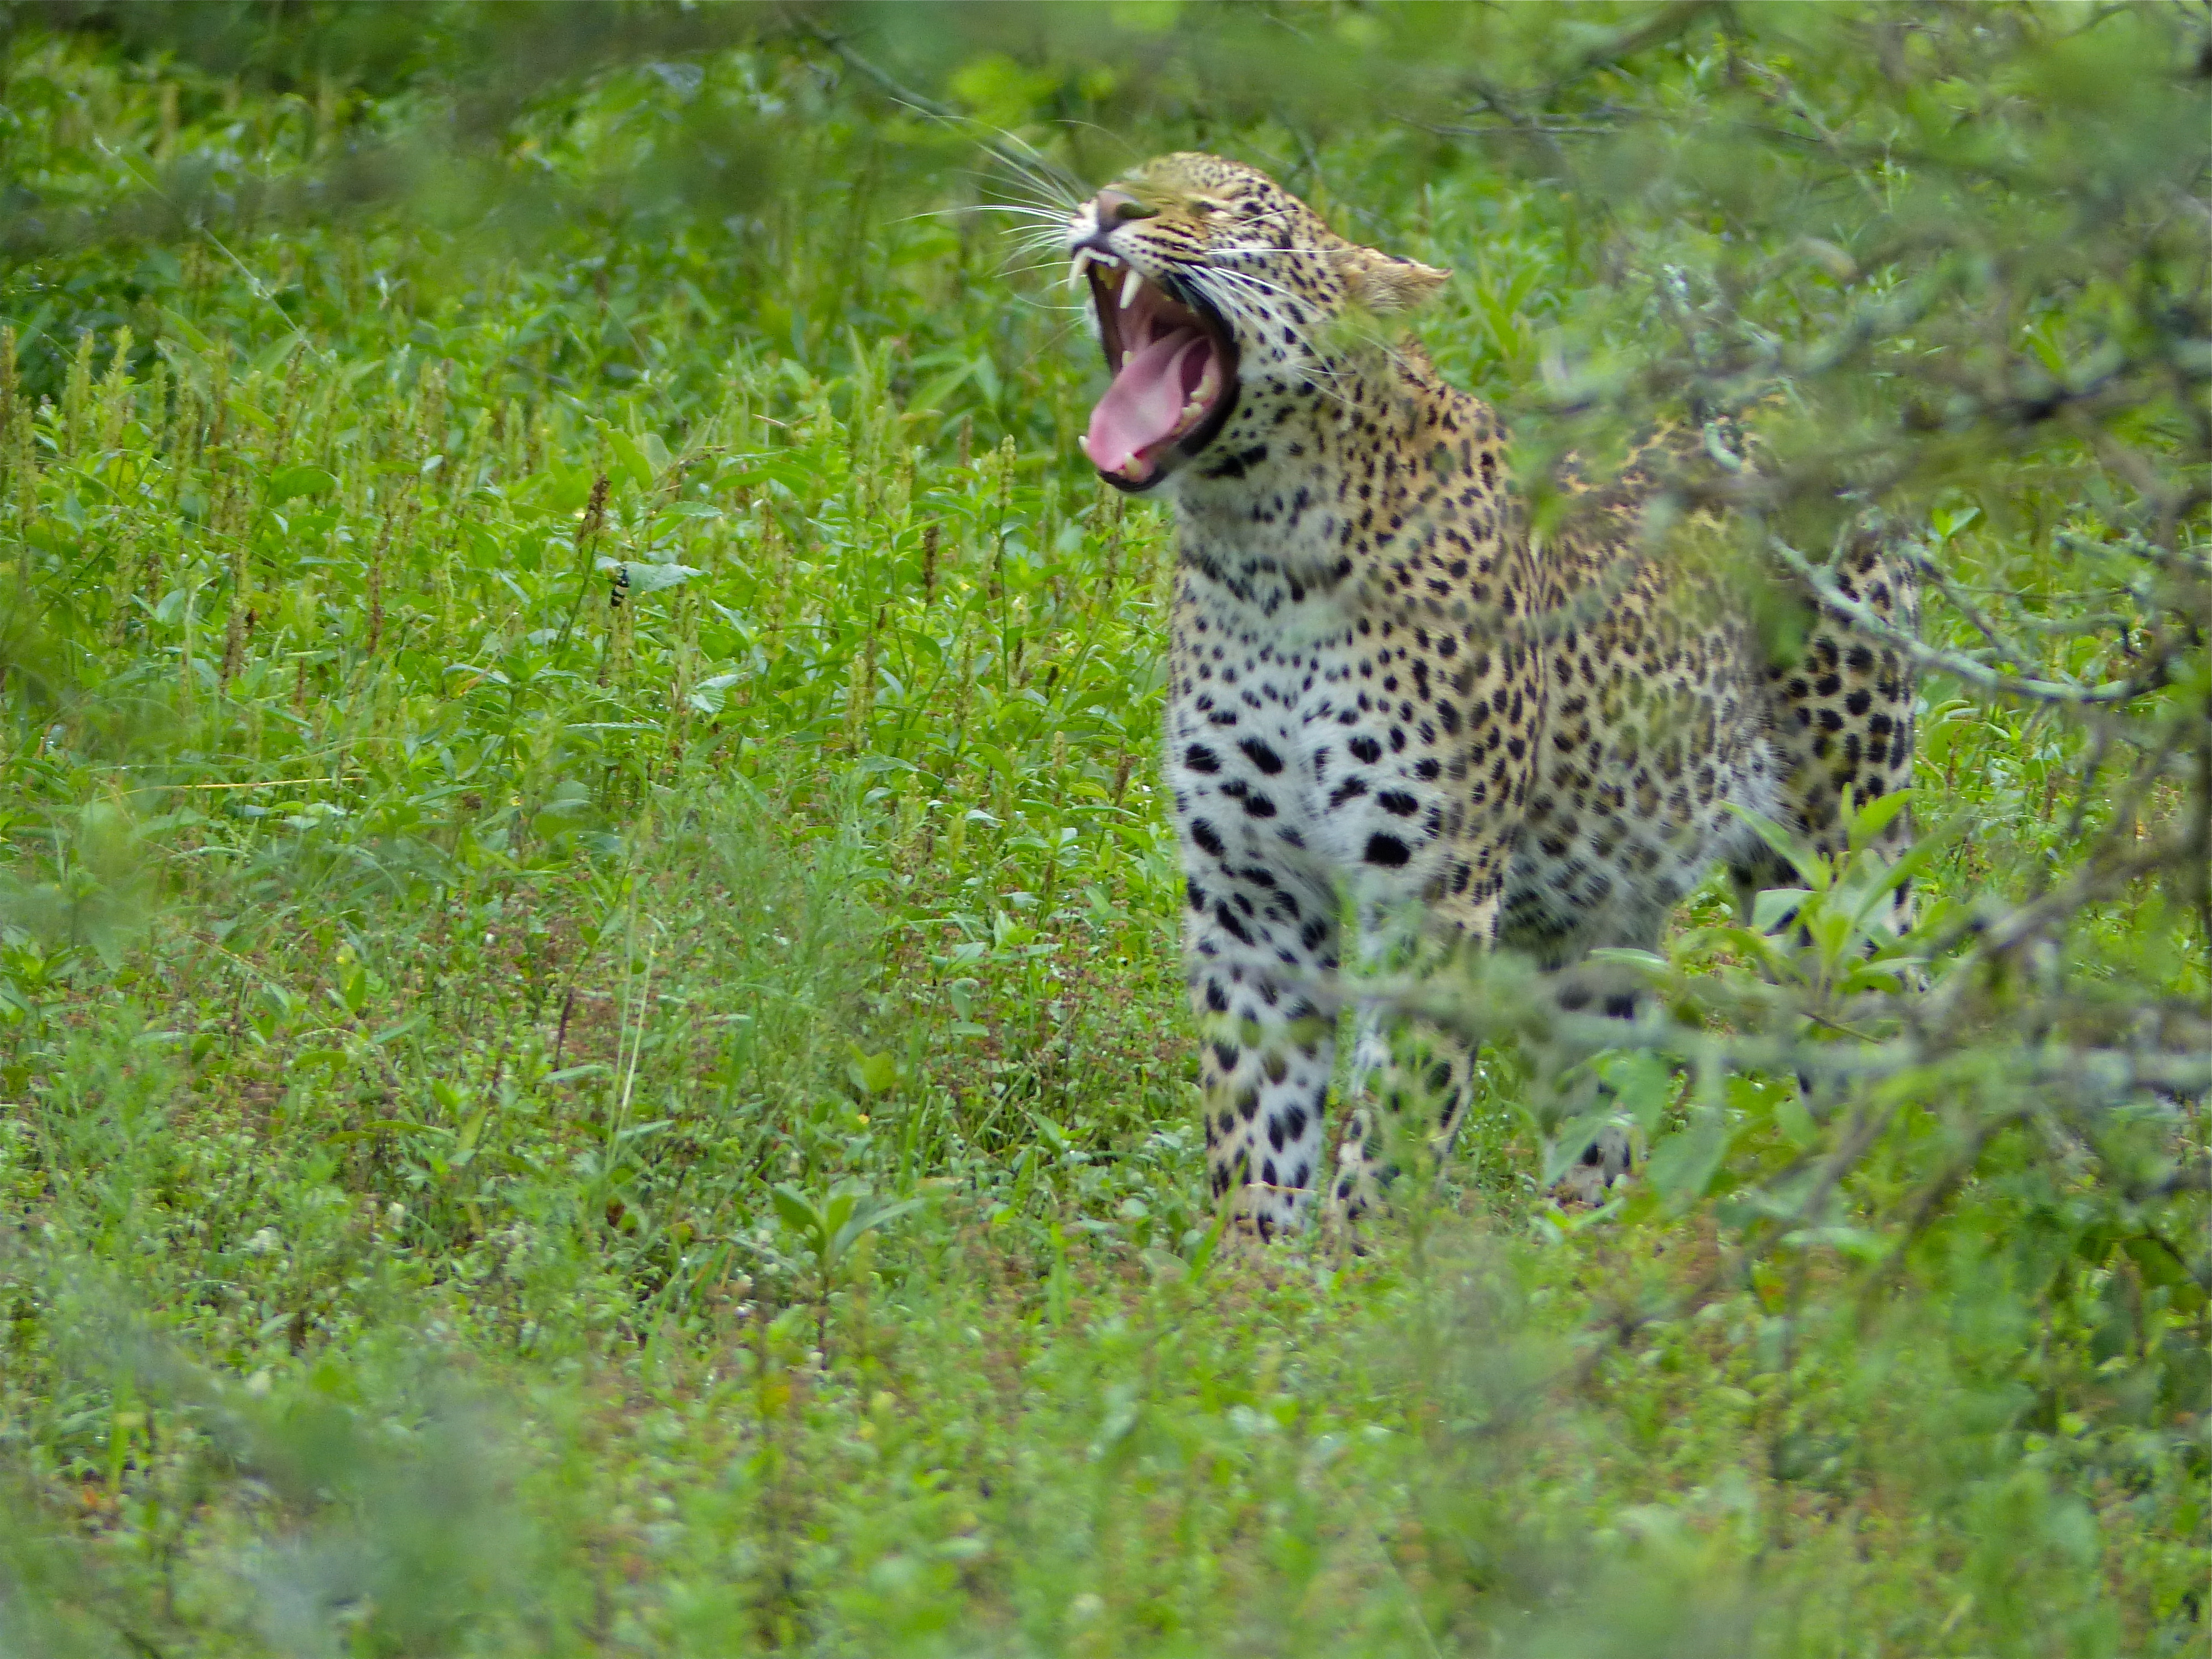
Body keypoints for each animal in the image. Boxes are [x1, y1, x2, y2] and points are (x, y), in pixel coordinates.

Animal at [1057, 156, 1920, 1239]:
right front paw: (1251, 1264)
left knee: (1886, 1034)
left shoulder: (1431, 887)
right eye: (1127, 181)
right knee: (1605, 1114)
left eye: (1220, 210)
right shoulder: (1251, 885)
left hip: (1839, 854)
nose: (1107, 209)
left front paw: (1359, 1267)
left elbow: (1393, 1117)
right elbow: (1257, 1114)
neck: (1261, 548)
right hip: (1600, 916)